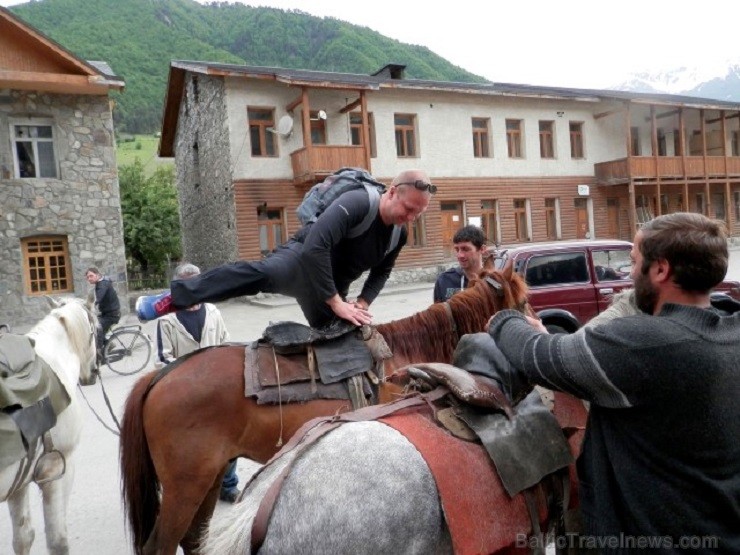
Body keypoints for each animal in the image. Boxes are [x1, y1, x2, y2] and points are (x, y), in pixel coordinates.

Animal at [0, 300, 97, 555]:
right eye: (96, 330)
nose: (94, 373)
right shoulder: (56, 470)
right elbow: (58, 541)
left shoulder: (19, 483)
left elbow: (23, 538)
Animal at [120, 268, 528, 552]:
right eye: (523, 302)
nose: (538, 324)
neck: (400, 357)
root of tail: (159, 376)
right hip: (185, 485)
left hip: (210, 477)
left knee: (193, 538)